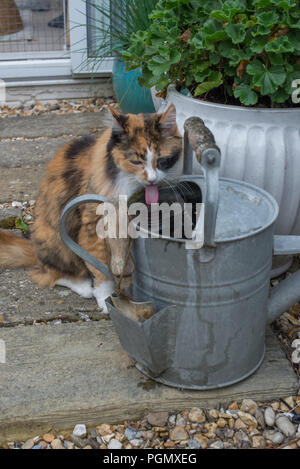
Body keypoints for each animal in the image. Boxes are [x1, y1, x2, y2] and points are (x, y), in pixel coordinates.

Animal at [0, 104, 183, 312]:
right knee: (51, 274)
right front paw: (107, 300)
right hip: (57, 241)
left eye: (162, 161)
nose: (152, 179)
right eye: (136, 161)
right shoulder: (94, 228)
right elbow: (102, 271)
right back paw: (85, 287)